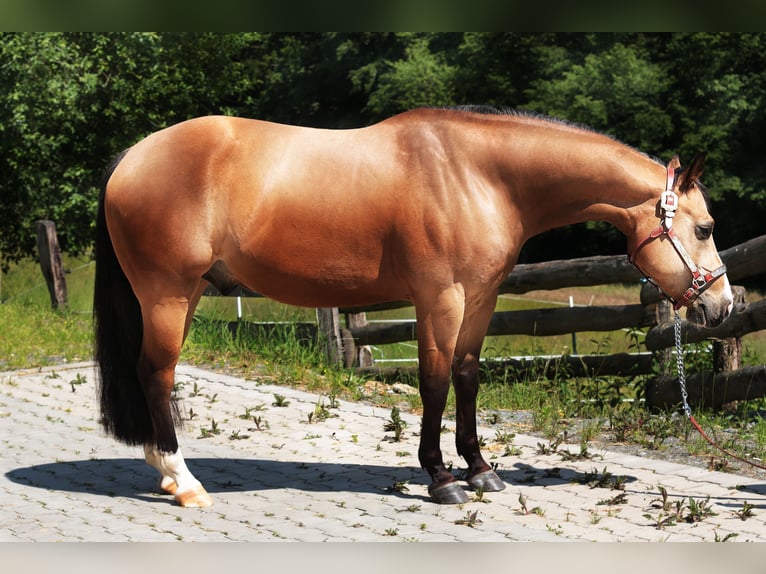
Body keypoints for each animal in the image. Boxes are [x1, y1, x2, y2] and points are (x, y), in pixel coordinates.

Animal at [93, 107, 736, 508]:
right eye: (704, 228)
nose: (724, 307)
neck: (478, 176)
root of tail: (131, 158)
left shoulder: (481, 300)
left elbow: (468, 377)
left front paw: (481, 471)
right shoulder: (439, 299)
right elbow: (433, 382)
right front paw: (441, 479)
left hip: (184, 293)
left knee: (149, 375)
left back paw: (163, 473)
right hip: (169, 294)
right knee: (156, 374)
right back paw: (184, 481)